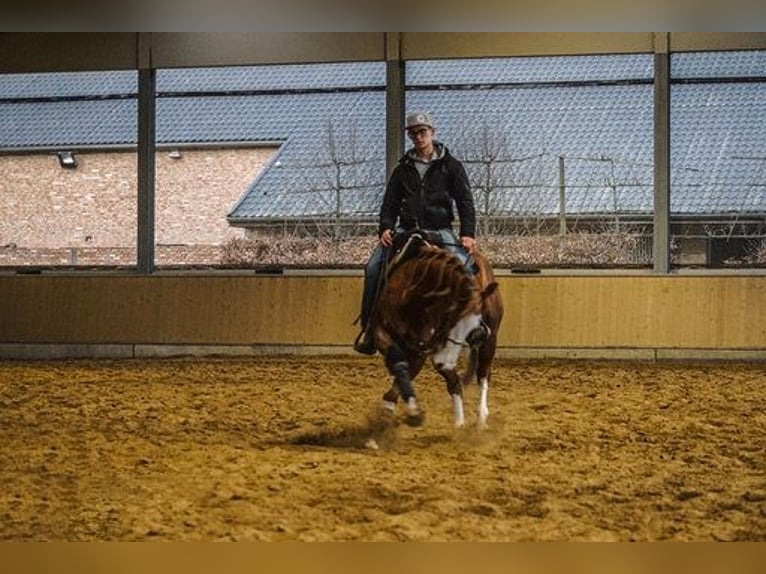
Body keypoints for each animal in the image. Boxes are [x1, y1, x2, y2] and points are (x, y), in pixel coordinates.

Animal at [372, 233, 504, 428]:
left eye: (479, 308)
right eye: (457, 309)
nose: (478, 334)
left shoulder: (425, 348)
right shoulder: (384, 334)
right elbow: (401, 365)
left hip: (491, 339)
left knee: (483, 374)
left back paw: (481, 416)